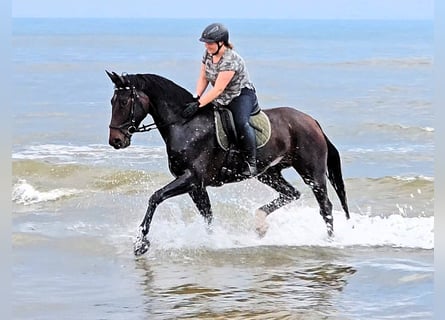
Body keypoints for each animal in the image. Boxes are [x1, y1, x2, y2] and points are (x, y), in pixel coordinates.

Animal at [106, 71, 348, 256]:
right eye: (112, 102)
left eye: (124, 102)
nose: (116, 141)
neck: (185, 124)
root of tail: (312, 121)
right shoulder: (196, 186)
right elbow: (207, 216)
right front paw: (212, 241)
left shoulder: (191, 179)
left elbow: (155, 197)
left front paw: (141, 243)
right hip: (269, 173)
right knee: (291, 193)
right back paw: (260, 224)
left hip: (312, 172)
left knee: (325, 206)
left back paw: (329, 241)